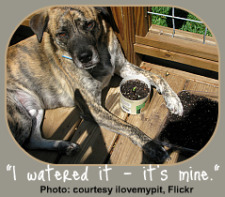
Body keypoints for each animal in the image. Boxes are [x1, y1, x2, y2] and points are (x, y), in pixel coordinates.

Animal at [6, 5, 183, 163]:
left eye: (89, 25)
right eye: (62, 34)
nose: (85, 57)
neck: (101, 55)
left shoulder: (123, 66)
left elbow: (157, 76)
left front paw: (174, 100)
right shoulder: (91, 107)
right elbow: (128, 126)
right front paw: (152, 146)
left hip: (33, 110)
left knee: (33, 140)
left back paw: (65, 146)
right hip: (19, 117)